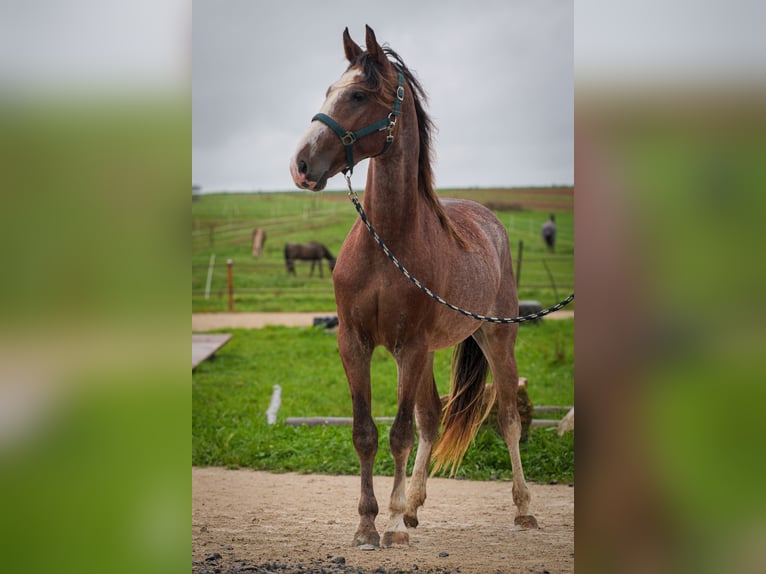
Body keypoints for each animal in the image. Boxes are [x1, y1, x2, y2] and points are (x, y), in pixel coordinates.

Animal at [290, 25, 538, 548]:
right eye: (329, 90)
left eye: (358, 95)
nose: (300, 164)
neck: (387, 243)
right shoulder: (355, 343)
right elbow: (366, 432)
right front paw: (369, 523)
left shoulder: (411, 347)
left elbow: (398, 433)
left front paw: (390, 526)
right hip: (430, 355)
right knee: (432, 417)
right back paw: (414, 508)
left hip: (495, 338)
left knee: (506, 418)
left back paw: (523, 508)